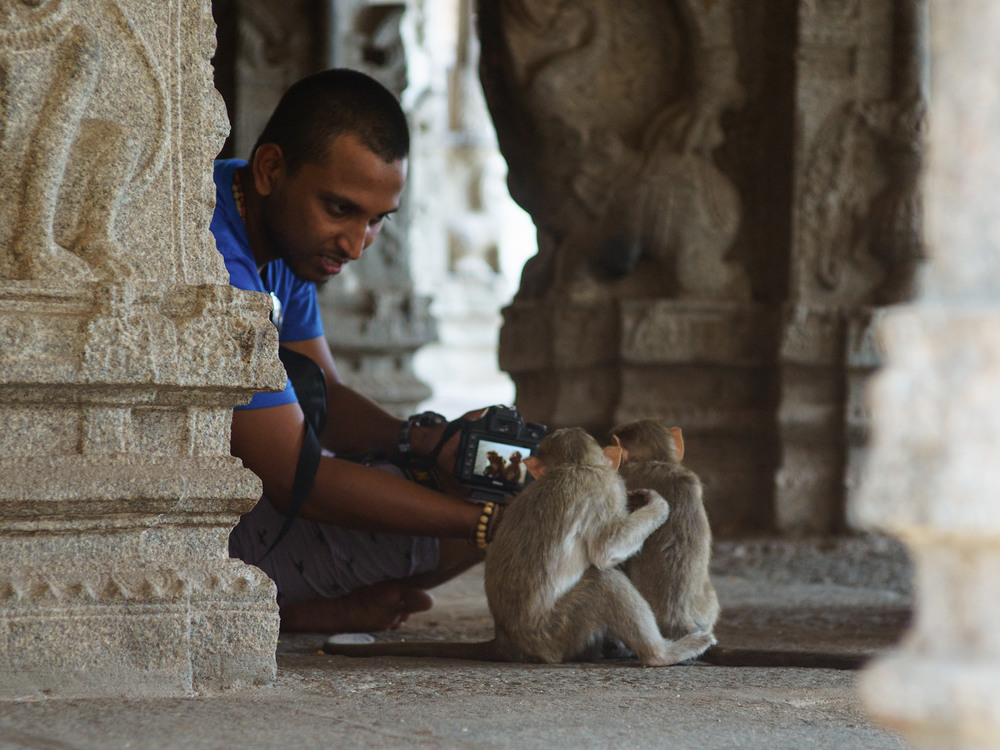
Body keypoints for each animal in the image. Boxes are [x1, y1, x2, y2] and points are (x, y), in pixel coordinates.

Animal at [324, 428, 716, 668]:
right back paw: (660, 654)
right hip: (558, 632)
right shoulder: (607, 487)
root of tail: (507, 642)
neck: (574, 464)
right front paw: (656, 505)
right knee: (604, 583)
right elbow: (607, 550)